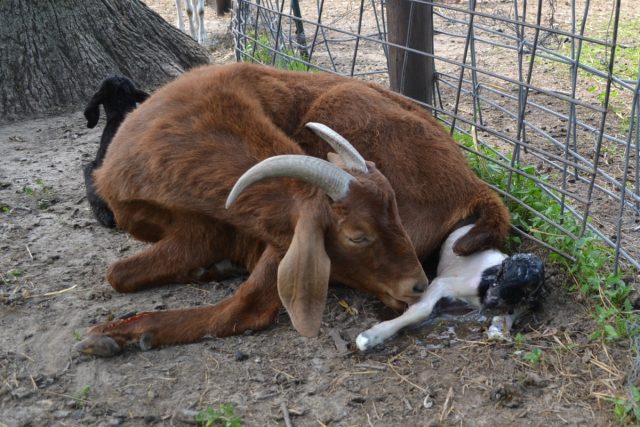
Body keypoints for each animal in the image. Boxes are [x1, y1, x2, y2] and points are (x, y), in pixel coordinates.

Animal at [356, 224, 544, 352]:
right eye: (504, 273)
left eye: (525, 292)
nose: (492, 301)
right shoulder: (443, 283)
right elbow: (422, 309)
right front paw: (371, 336)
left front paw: (497, 330)